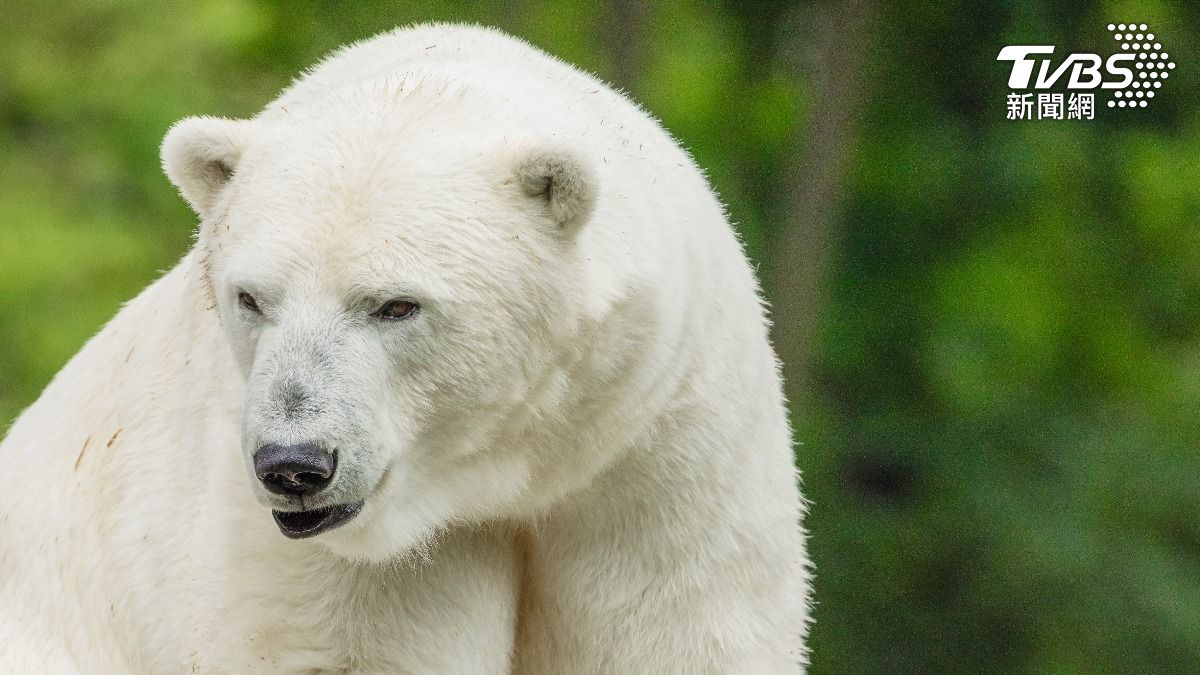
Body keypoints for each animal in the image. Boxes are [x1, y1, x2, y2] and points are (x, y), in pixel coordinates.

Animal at [0, 23, 809, 673]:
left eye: (395, 304)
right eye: (252, 297)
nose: (294, 465)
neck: (499, 475)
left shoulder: (656, 448)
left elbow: (675, 633)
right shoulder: (316, 549)